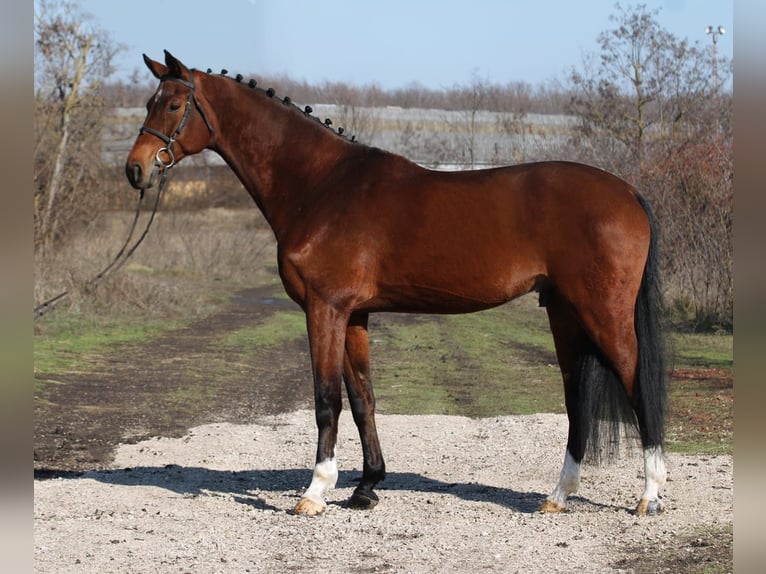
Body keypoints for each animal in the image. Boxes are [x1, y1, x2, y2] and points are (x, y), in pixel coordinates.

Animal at [124, 53, 664, 516]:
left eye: (173, 104)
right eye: (149, 101)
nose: (135, 169)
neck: (321, 185)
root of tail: (629, 193)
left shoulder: (324, 308)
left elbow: (326, 399)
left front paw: (315, 492)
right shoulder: (354, 315)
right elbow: (363, 398)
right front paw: (366, 487)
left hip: (603, 313)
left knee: (638, 385)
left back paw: (649, 497)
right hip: (564, 314)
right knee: (576, 401)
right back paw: (557, 497)